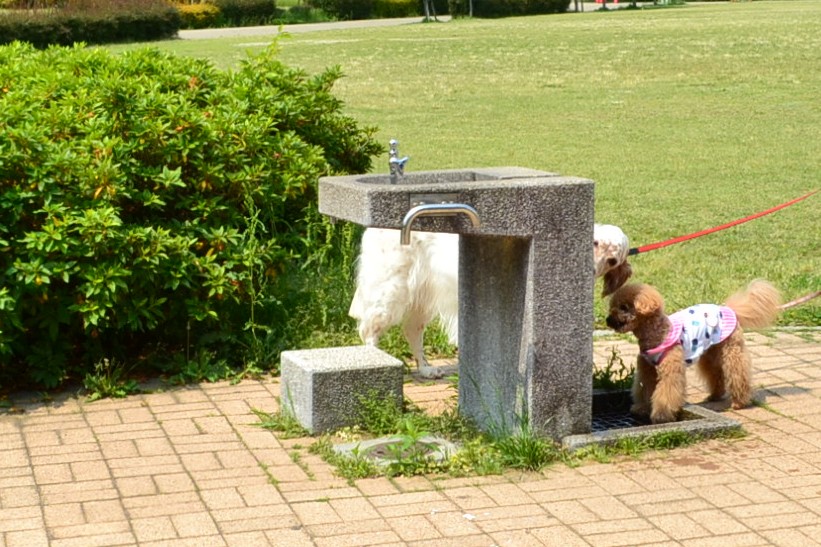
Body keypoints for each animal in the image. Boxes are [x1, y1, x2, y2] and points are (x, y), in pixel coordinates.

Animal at [346, 225, 628, 378]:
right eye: (595, 242)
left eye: (613, 260)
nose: (591, 270)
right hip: (391, 290)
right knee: (369, 329)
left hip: (421, 298)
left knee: (412, 331)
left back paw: (426, 369)